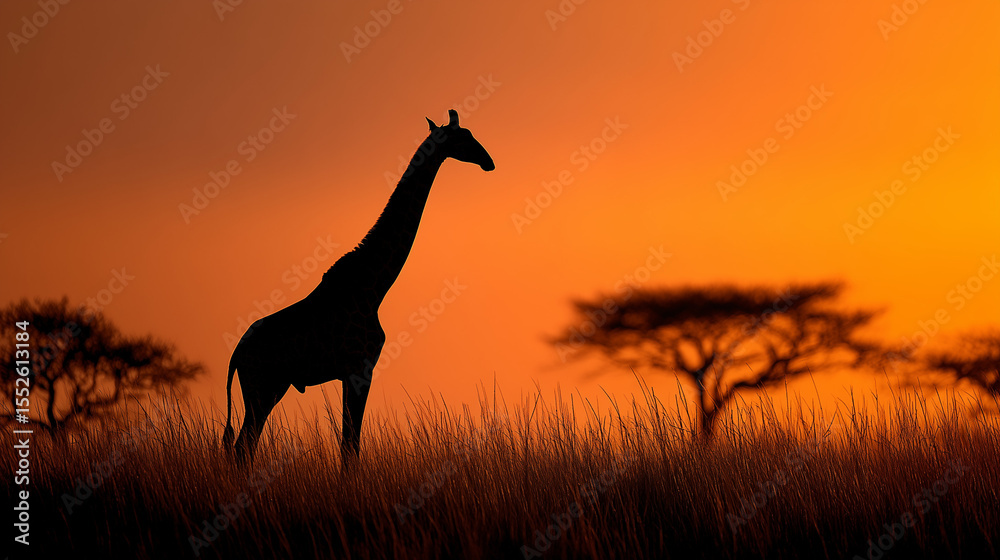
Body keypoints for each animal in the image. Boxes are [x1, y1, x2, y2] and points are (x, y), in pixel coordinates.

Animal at [222, 109, 494, 467]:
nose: (489, 161)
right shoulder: (359, 369)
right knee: (243, 446)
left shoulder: (352, 373)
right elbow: (350, 447)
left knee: (244, 445)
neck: (374, 286)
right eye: (464, 137)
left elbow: (349, 445)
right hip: (261, 387)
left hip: (271, 388)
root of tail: (236, 354)